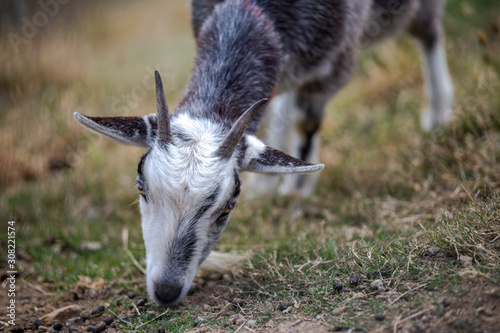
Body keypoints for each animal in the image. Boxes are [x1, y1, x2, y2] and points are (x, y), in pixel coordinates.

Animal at [74, 0, 454, 306]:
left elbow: (309, 121)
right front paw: (271, 185)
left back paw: (439, 112)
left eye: (228, 207)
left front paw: (296, 193)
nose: (166, 291)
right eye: (141, 188)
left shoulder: (335, 61)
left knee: (428, 29)